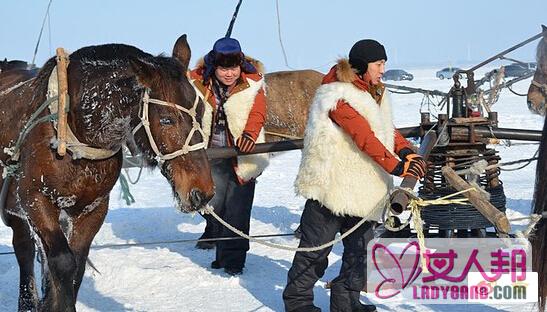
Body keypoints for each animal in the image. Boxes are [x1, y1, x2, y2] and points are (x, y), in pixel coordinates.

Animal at [0, 34, 214, 312]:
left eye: (201, 112)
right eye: (167, 119)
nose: (203, 191)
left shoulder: (93, 208)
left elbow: (76, 265)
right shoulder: (35, 199)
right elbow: (63, 262)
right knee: (24, 246)